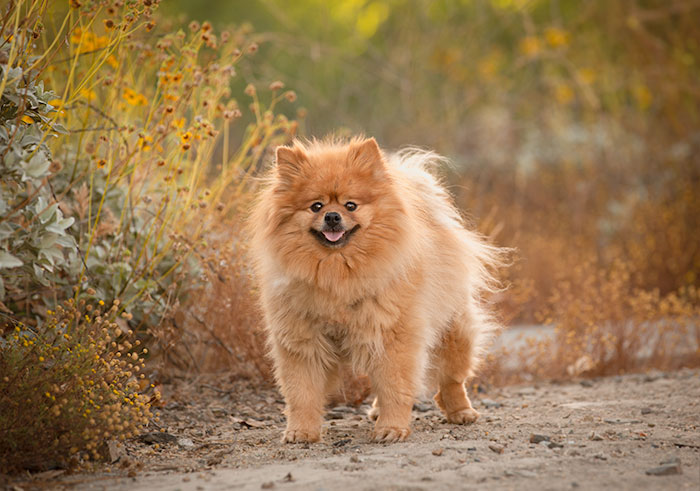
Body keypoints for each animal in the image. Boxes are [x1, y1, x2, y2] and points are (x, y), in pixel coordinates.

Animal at [249, 136, 506, 444]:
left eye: (351, 205)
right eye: (315, 206)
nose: (332, 216)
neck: (338, 274)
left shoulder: (392, 336)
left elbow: (395, 386)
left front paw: (391, 428)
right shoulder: (302, 342)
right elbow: (302, 393)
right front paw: (301, 431)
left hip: (452, 330)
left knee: (452, 379)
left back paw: (461, 412)